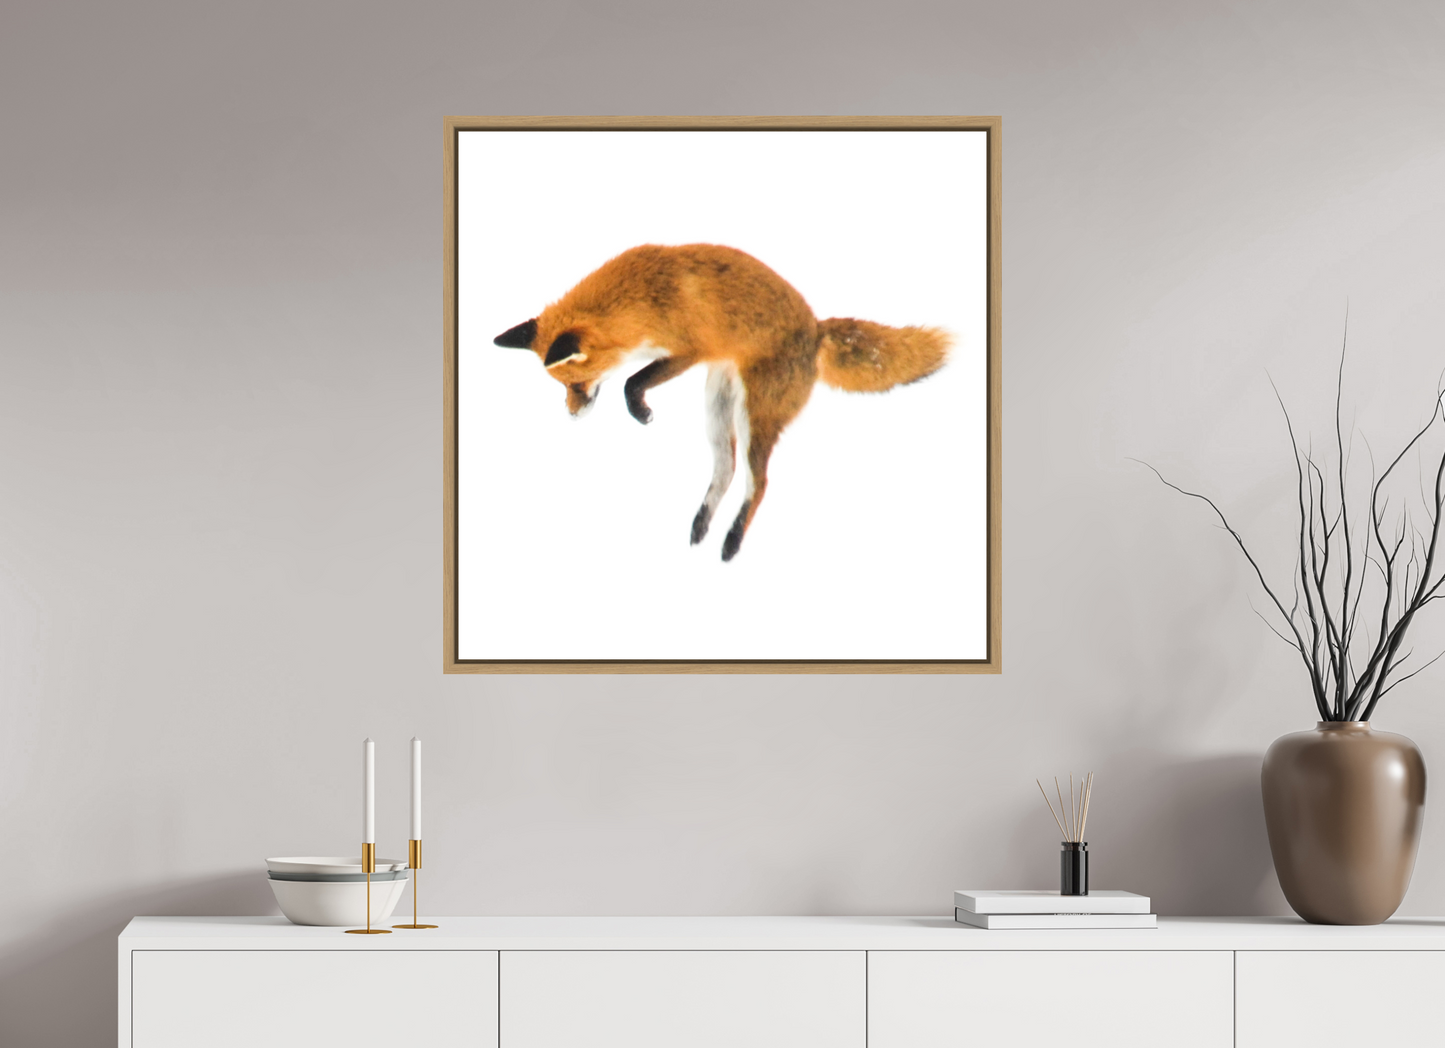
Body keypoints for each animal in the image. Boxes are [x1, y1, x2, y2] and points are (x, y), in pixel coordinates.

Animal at [493, 243, 951, 561]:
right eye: (563, 387)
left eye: (576, 382)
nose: (571, 415)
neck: (642, 298)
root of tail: (817, 330)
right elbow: (632, 379)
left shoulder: (690, 350)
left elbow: (631, 381)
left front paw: (641, 411)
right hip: (717, 410)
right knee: (727, 470)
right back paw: (702, 525)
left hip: (754, 417)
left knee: (758, 482)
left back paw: (732, 542)